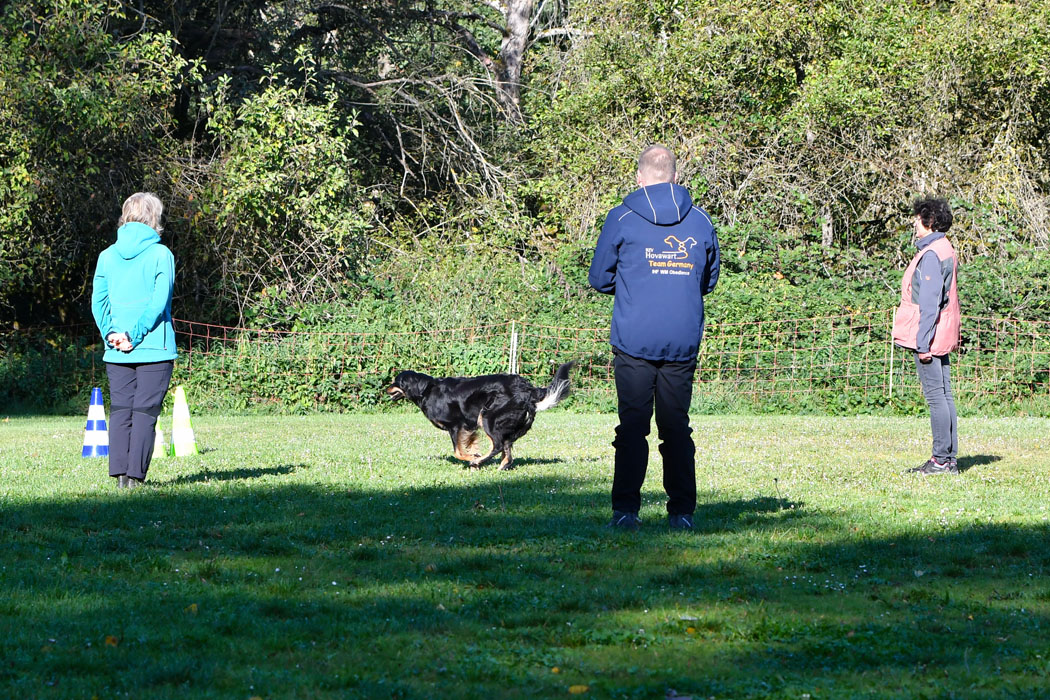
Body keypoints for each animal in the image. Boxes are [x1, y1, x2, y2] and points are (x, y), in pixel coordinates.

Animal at [390, 361, 575, 470]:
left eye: (395, 382)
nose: (386, 389)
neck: (426, 390)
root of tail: (528, 389)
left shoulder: (456, 425)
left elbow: (458, 451)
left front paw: (473, 458)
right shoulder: (469, 427)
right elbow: (470, 444)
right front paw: (475, 458)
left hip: (488, 417)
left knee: (498, 446)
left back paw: (480, 461)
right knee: (507, 450)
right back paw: (500, 467)